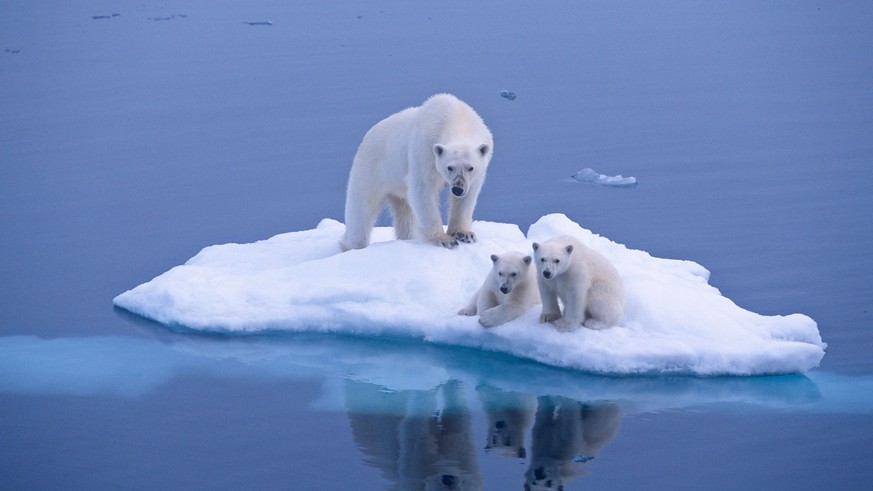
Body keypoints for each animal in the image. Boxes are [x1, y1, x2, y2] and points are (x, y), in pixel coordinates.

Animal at [338, 94, 494, 252]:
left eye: (470, 168)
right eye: (449, 167)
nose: (457, 189)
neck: (457, 118)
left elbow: (467, 197)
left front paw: (464, 234)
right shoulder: (425, 149)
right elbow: (423, 189)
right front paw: (444, 240)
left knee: (405, 215)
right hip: (371, 169)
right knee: (361, 211)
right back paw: (350, 245)